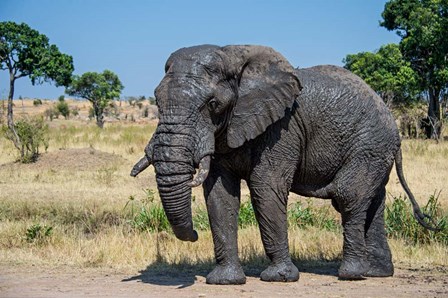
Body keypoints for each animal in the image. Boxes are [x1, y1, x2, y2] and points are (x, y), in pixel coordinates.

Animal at [130, 44, 438, 284]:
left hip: (369, 144)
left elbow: (265, 188)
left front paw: (278, 278)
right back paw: (376, 273)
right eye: (156, 99)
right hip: (376, 149)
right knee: (373, 202)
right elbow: (219, 194)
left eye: (213, 104)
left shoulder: (282, 128)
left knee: (348, 196)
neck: (234, 56)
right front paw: (224, 281)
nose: (193, 234)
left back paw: (352, 274)